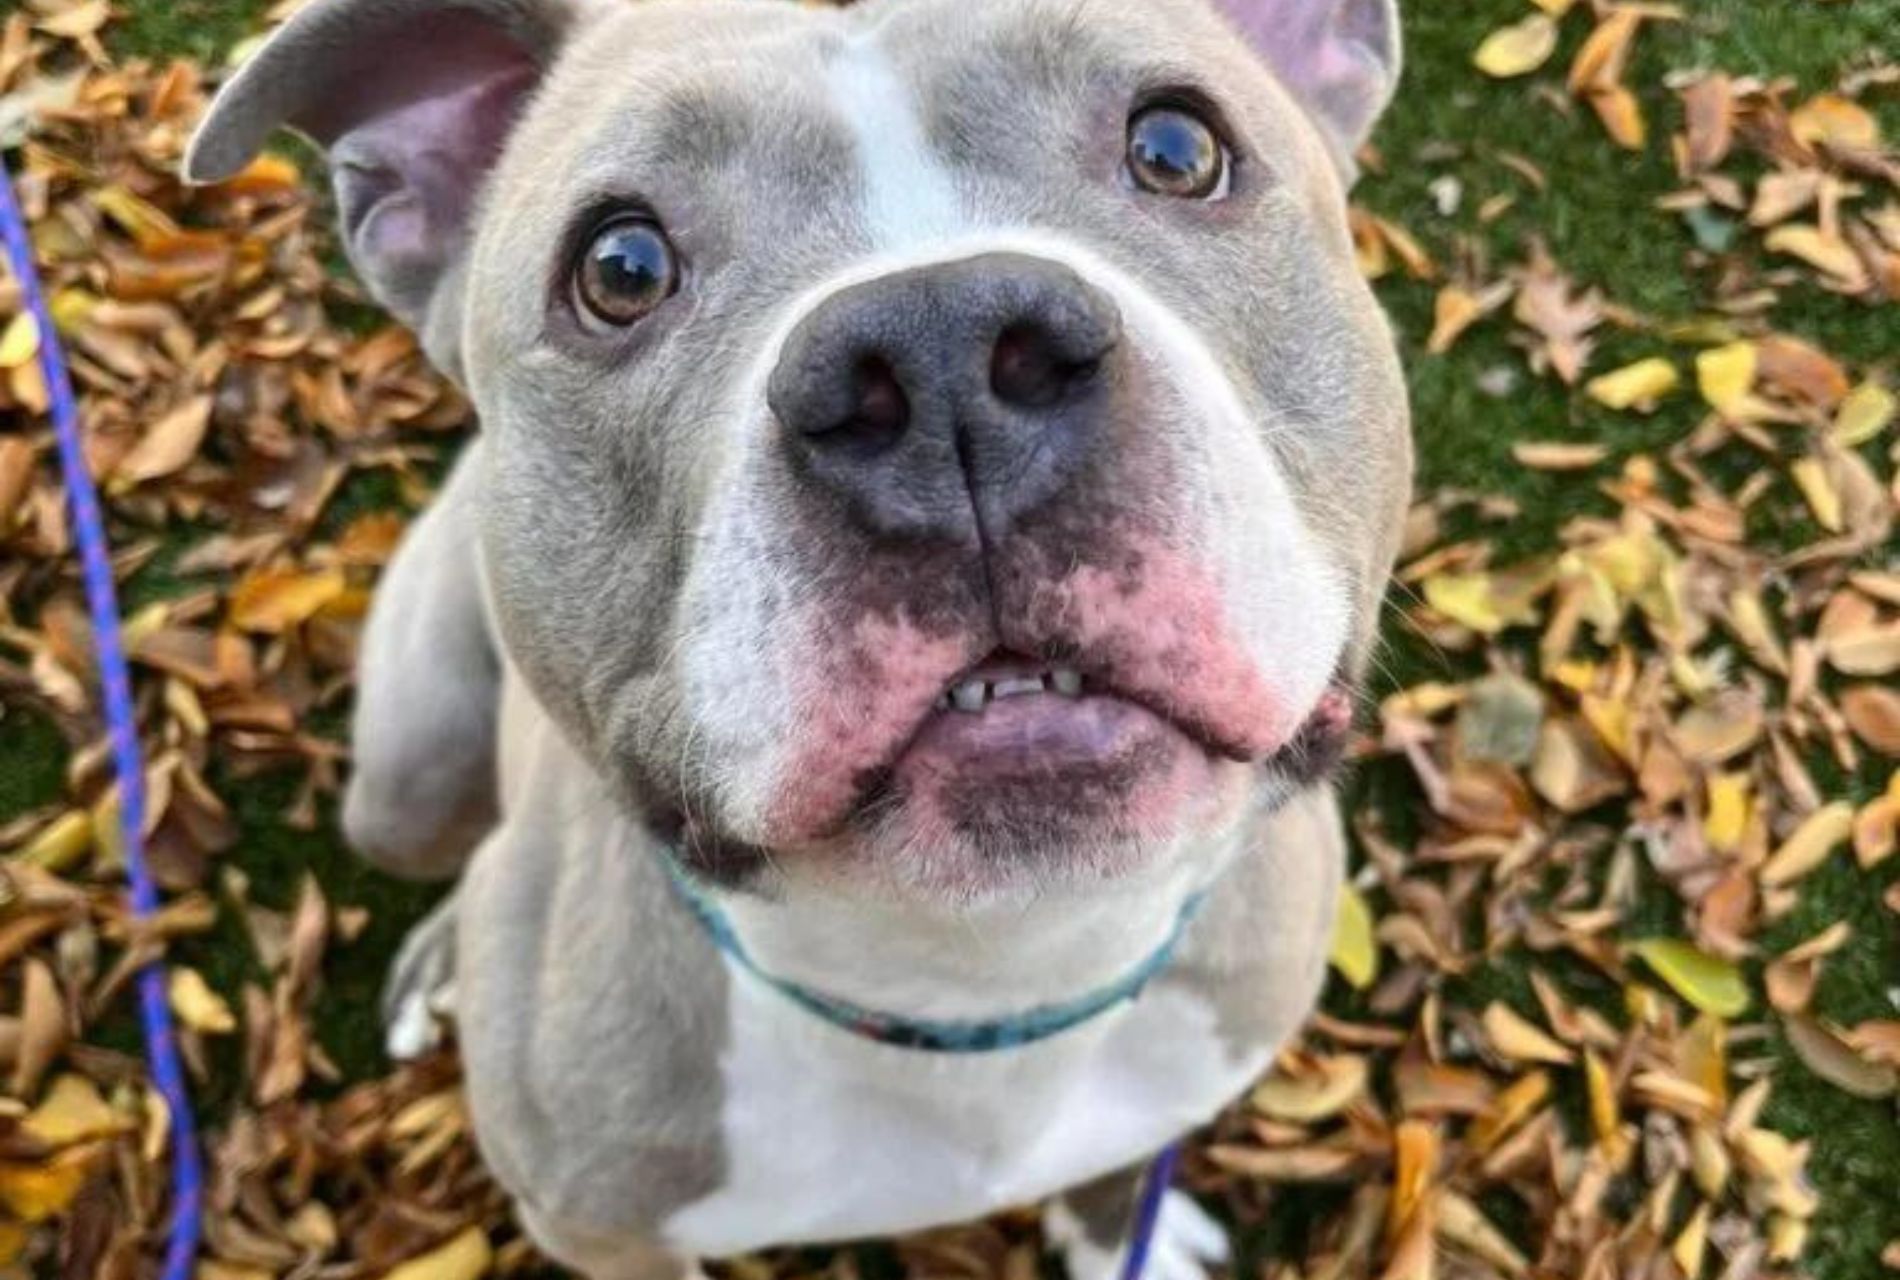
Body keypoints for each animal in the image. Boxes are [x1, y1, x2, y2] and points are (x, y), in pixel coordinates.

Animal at [185, 0, 1413, 1268]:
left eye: (1176, 147)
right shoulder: (600, 1230)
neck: (984, 976)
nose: (940, 349)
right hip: (406, 781)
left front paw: (1129, 1229)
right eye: (618, 268)